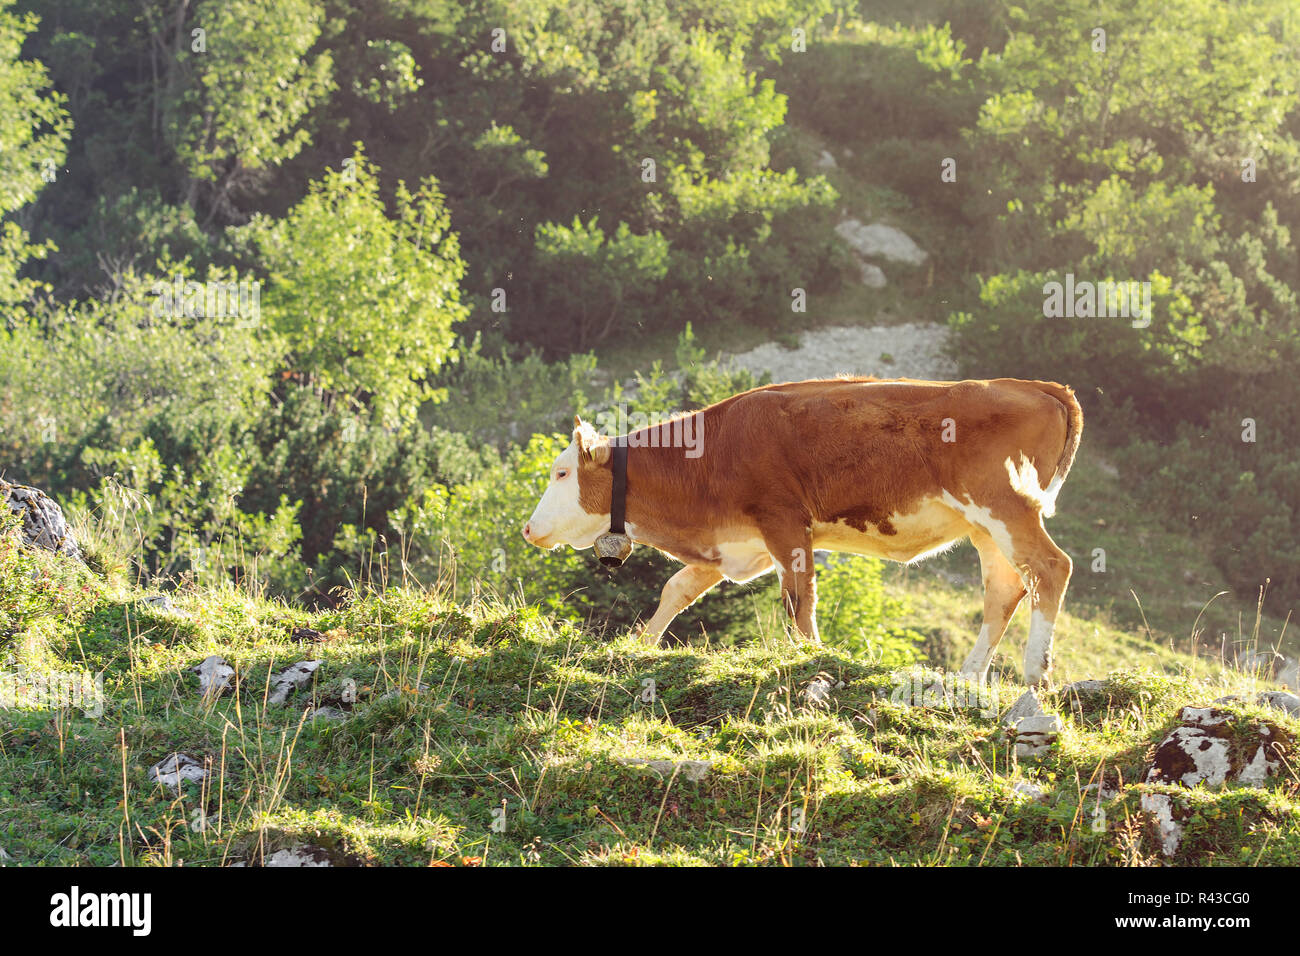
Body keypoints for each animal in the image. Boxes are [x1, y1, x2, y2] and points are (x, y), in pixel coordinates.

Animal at [522, 377, 1083, 686]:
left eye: (561, 473)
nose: (528, 528)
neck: (709, 453)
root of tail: (1037, 386)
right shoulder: (729, 544)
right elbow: (675, 590)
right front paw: (639, 644)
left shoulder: (784, 521)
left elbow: (799, 599)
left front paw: (812, 657)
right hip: (984, 527)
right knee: (1005, 588)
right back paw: (969, 677)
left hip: (1005, 506)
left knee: (1050, 568)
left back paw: (1035, 674)